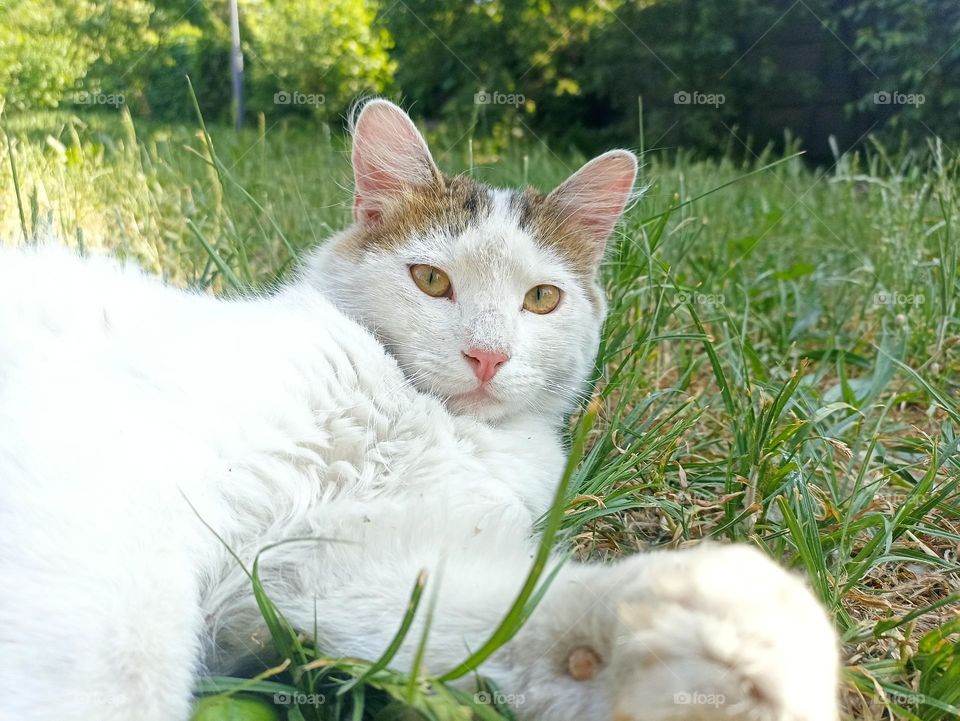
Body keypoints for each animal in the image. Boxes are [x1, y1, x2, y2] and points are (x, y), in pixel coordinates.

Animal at [0, 100, 840, 720]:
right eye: (432, 280)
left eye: (542, 298)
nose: (488, 354)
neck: (421, 417)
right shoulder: (110, 460)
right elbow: (120, 665)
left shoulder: (345, 575)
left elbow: (520, 620)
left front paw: (728, 632)